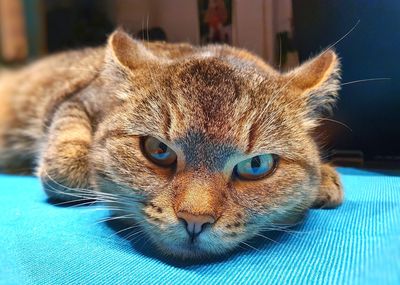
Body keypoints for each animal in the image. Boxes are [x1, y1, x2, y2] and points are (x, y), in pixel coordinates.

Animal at [0, 30, 344, 258]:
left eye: (256, 165)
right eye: (158, 149)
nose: (195, 221)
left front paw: (325, 179)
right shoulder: (75, 100)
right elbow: (68, 167)